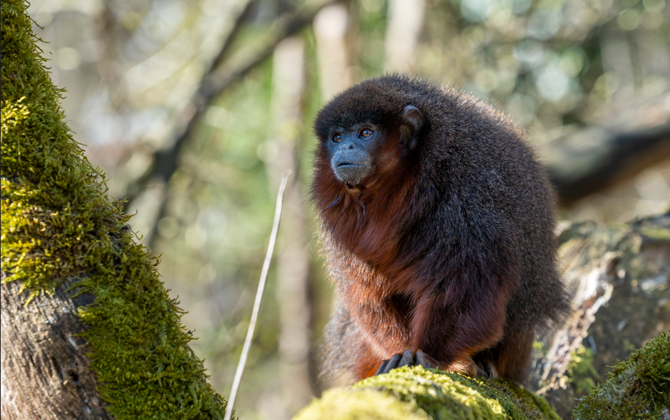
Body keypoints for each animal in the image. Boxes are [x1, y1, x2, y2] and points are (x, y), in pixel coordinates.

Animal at [311, 75, 569, 386]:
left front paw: (427, 354)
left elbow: (467, 285)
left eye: (365, 132)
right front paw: (400, 352)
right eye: (336, 138)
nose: (345, 148)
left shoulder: (465, 196)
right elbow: (370, 294)